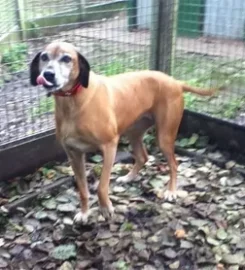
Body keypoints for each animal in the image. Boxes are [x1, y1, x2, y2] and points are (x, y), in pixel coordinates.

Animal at [30, 41, 214, 224]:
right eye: (44, 57)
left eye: (67, 58)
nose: (48, 74)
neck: (73, 100)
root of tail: (175, 82)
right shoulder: (74, 155)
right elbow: (82, 190)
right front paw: (84, 213)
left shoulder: (109, 147)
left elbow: (101, 186)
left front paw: (106, 208)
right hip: (134, 132)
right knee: (143, 157)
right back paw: (128, 177)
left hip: (164, 136)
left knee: (174, 164)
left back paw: (171, 191)